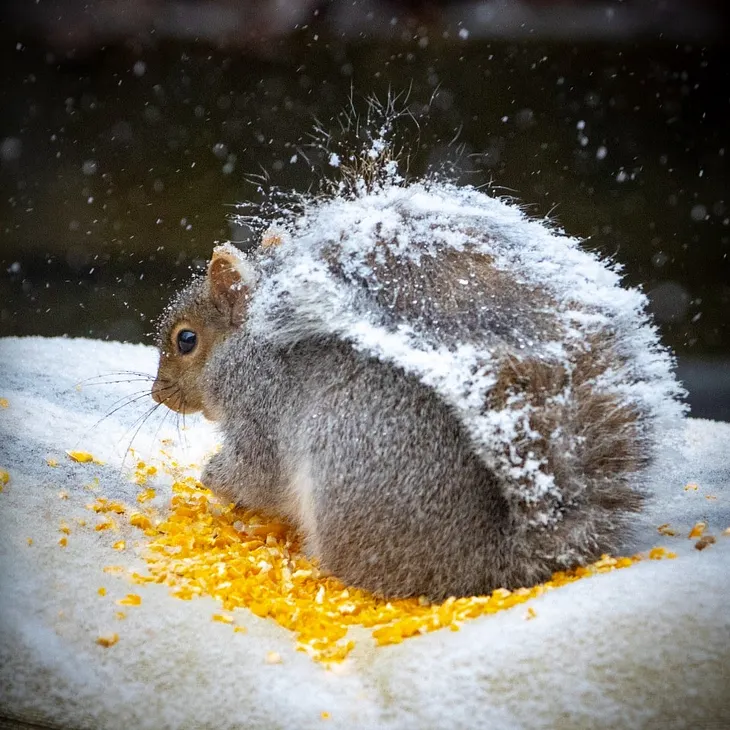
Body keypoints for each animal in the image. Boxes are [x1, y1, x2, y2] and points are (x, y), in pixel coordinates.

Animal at [151, 150, 685, 601]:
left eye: (186, 340)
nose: (157, 395)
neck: (248, 348)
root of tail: (487, 568)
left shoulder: (261, 405)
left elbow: (254, 473)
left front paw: (212, 477)